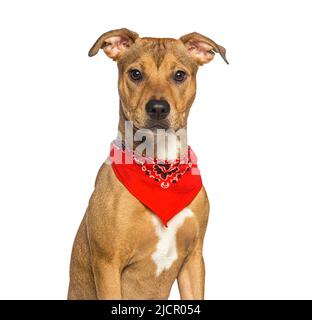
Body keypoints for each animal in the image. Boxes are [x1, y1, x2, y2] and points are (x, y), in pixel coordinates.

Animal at [68, 28, 228, 300]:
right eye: (136, 74)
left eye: (179, 75)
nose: (158, 108)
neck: (161, 170)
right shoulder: (107, 264)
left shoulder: (193, 260)